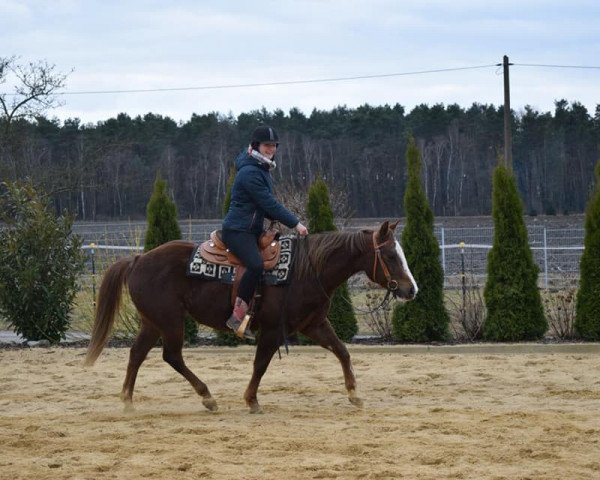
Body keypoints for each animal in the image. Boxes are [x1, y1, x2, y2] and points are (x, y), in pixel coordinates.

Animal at [85, 221, 418, 412]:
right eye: (390, 255)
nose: (411, 289)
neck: (306, 269)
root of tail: (138, 258)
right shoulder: (272, 330)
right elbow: (261, 363)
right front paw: (252, 400)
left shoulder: (314, 325)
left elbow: (342, 351)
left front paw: (354, 394)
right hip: (169, 321)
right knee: (172, 356)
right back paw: (207, 397)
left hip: (153, 322)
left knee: (137, 354)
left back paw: (128, 401)